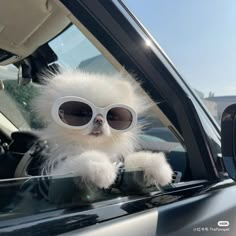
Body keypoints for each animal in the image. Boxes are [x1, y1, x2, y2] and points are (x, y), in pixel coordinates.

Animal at [33, 70, 172, 188]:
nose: (99, 120)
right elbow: (79, 159)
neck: (94, 146)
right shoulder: (53, 174)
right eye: (81, 113)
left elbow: (132, 160)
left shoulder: (119, 161)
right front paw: (102, 168)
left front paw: (156, 165)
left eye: (112, 116)